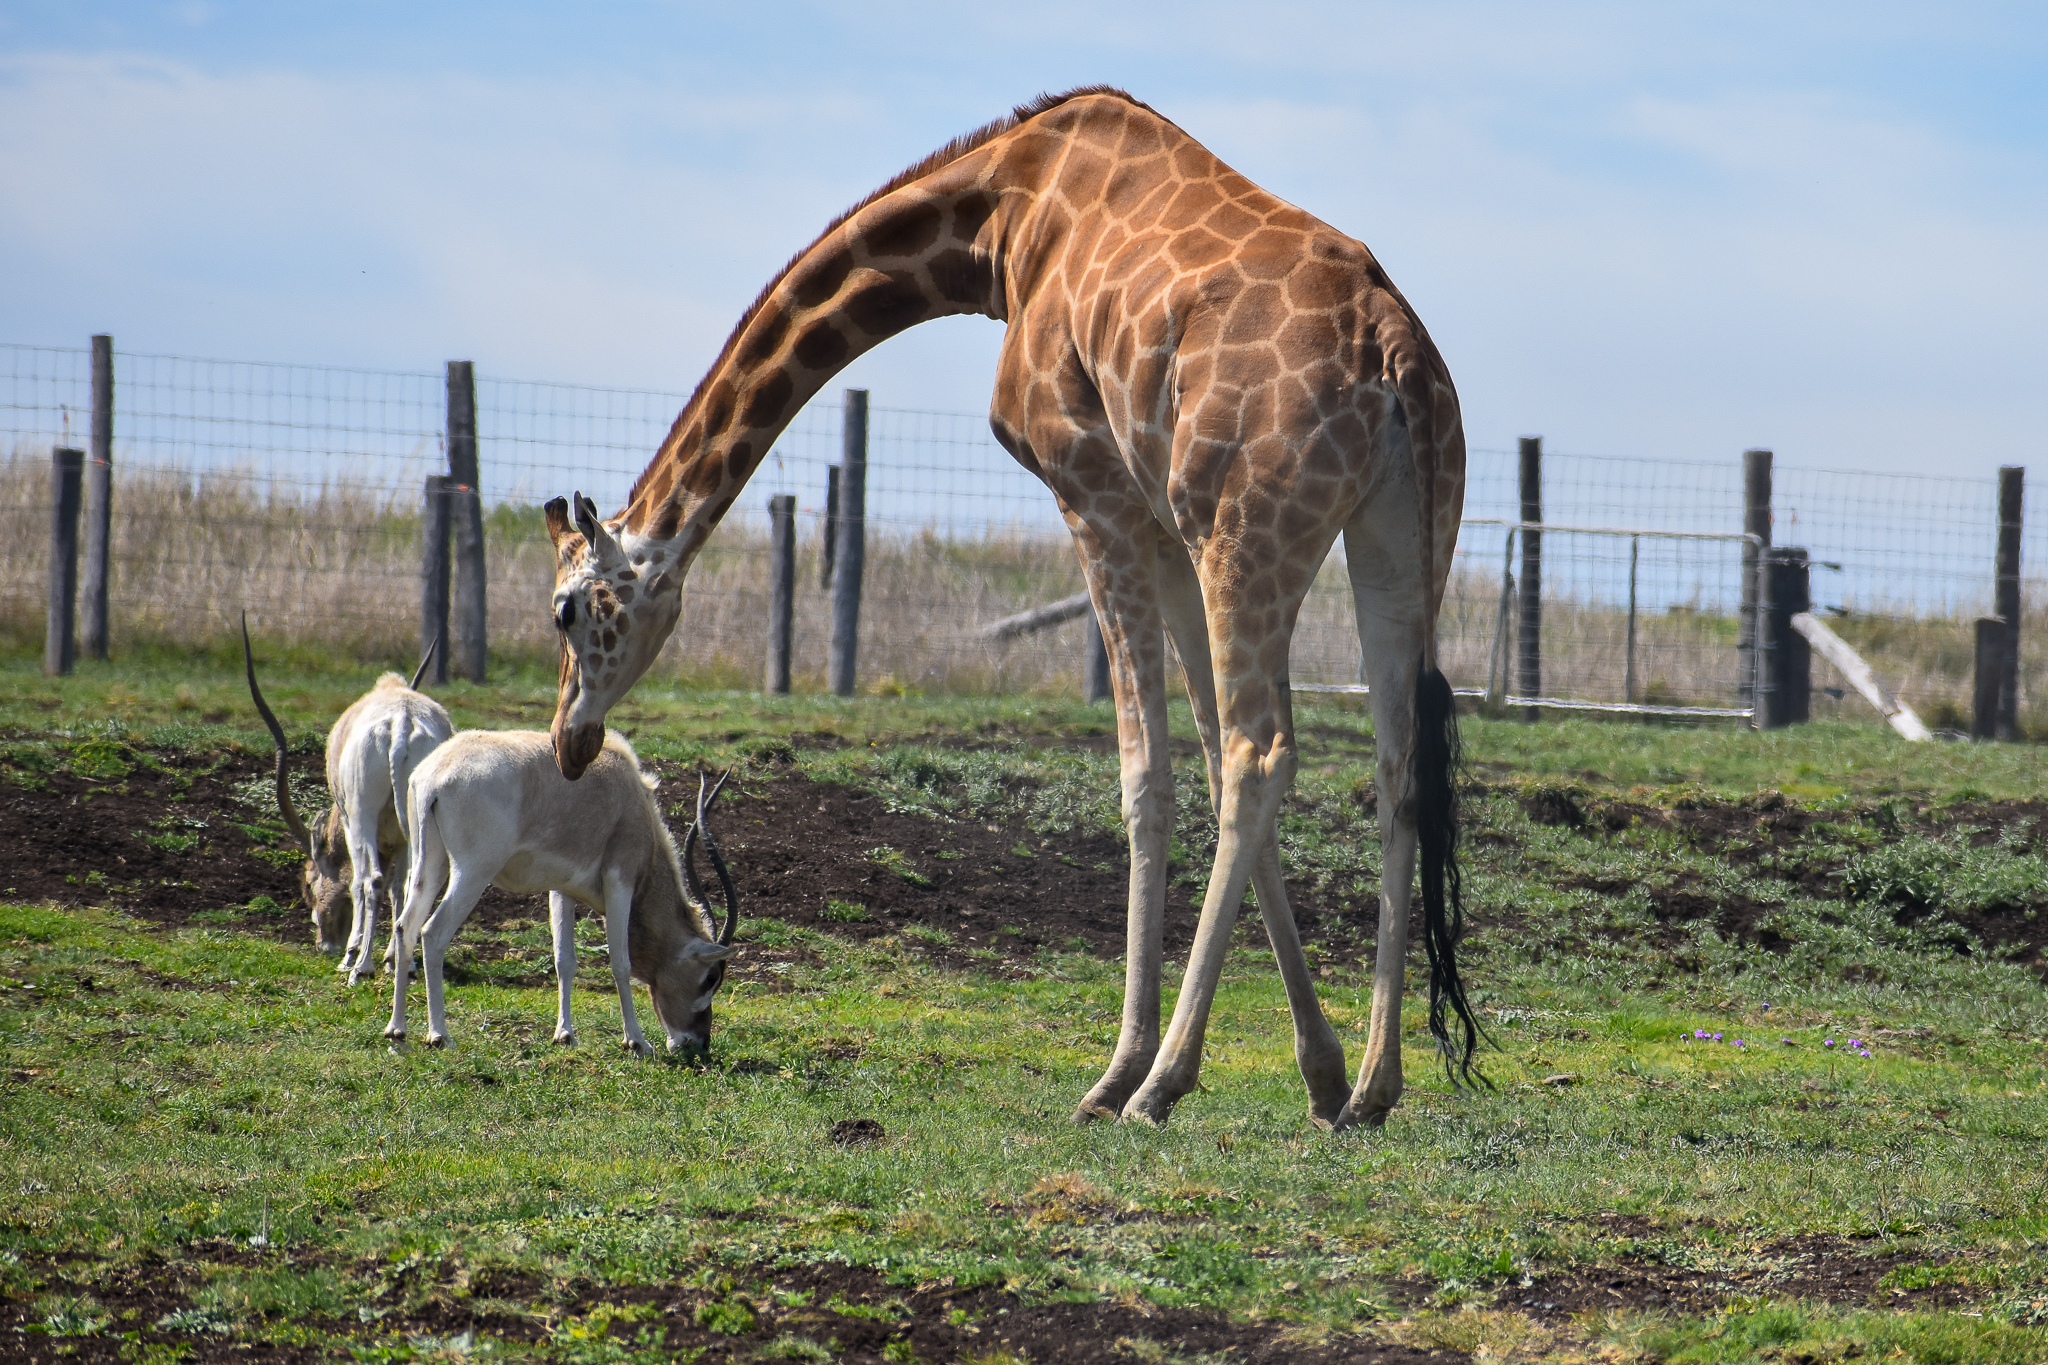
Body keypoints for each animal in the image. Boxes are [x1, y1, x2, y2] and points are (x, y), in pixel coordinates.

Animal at [542, 87, 1482, 1128]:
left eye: (567, 610)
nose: (569, 742)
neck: (996, 223)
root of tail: (1397, 355)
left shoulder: (1093, 486)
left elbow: (1148, 773)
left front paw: (1120, 1071)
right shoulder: (1161, 520)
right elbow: (1195, 749)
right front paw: (1317, 1070)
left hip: (1247, 532)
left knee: (1259, 753)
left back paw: (1158, 1082)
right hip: (1393, 534)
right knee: (1394, 764)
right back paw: (1372, 1086)